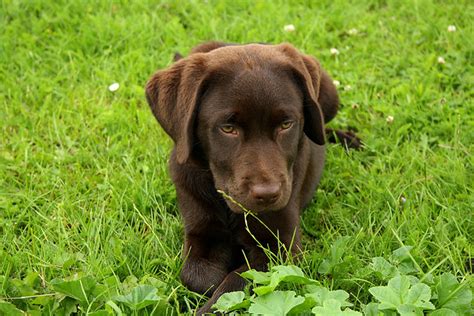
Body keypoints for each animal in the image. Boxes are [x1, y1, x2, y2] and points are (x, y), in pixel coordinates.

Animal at [146, 41, 350, 314]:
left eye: (286, 124)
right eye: (228, 128)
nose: (268, 195)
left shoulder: (281, 246)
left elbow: (236, 281)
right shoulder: (200, 229)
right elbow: (196, 275)